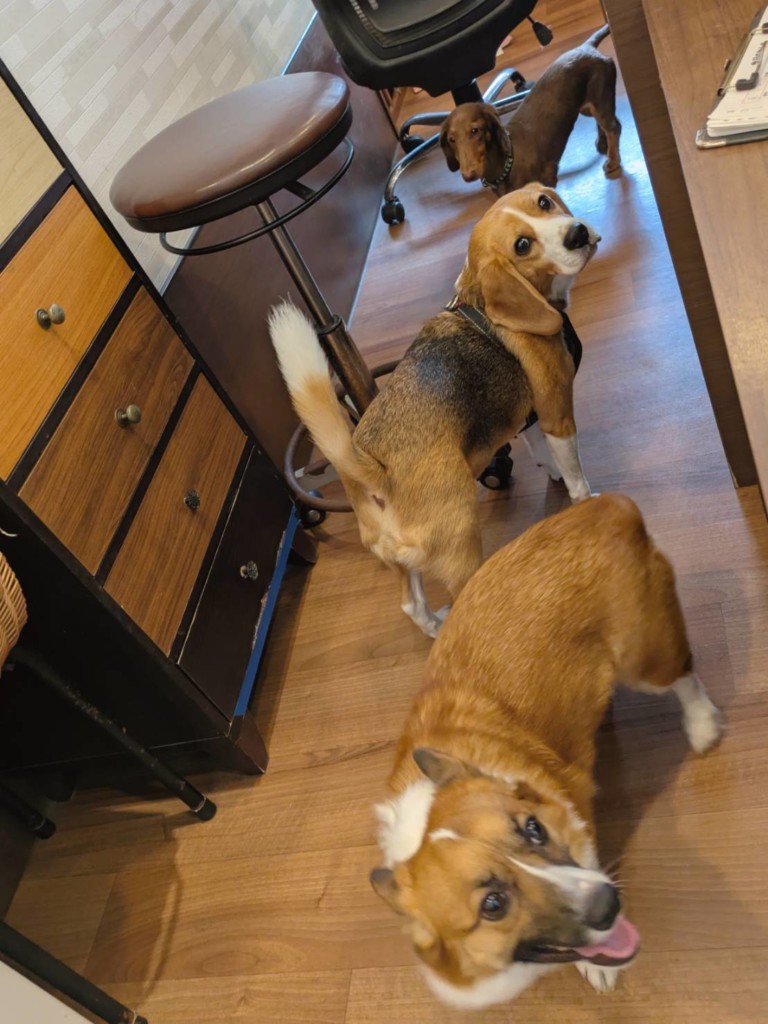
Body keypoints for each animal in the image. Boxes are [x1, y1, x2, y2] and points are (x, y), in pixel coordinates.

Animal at [269, 184, 599, 636]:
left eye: (544, 203)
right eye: (522, 245)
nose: (577, 233)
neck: (481, 301)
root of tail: (375, 474)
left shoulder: (529, 418)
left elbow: (543, 454)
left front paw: (552, 475)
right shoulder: (556, 411)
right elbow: (575, 471)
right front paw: (586, 499)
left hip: (401, 562)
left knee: (411, 605)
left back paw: (433, 626)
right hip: (461, 538)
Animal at [370, 494, 723, 1009]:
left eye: (533, 828)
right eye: (493, 905)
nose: (610, 903)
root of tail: (608, 507)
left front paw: (595, 967)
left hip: (645, 661)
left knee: (684, 675)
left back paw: (701, 725)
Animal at [440, 25, 621, 195]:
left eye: (475, 130)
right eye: (451, 139)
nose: (468, 175)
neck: (506, 163)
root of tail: (586, 46)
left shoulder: (548, 178)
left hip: (600, 99)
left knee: (613, 127)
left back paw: (613, 161)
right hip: (587, 107)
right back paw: (602, 143)